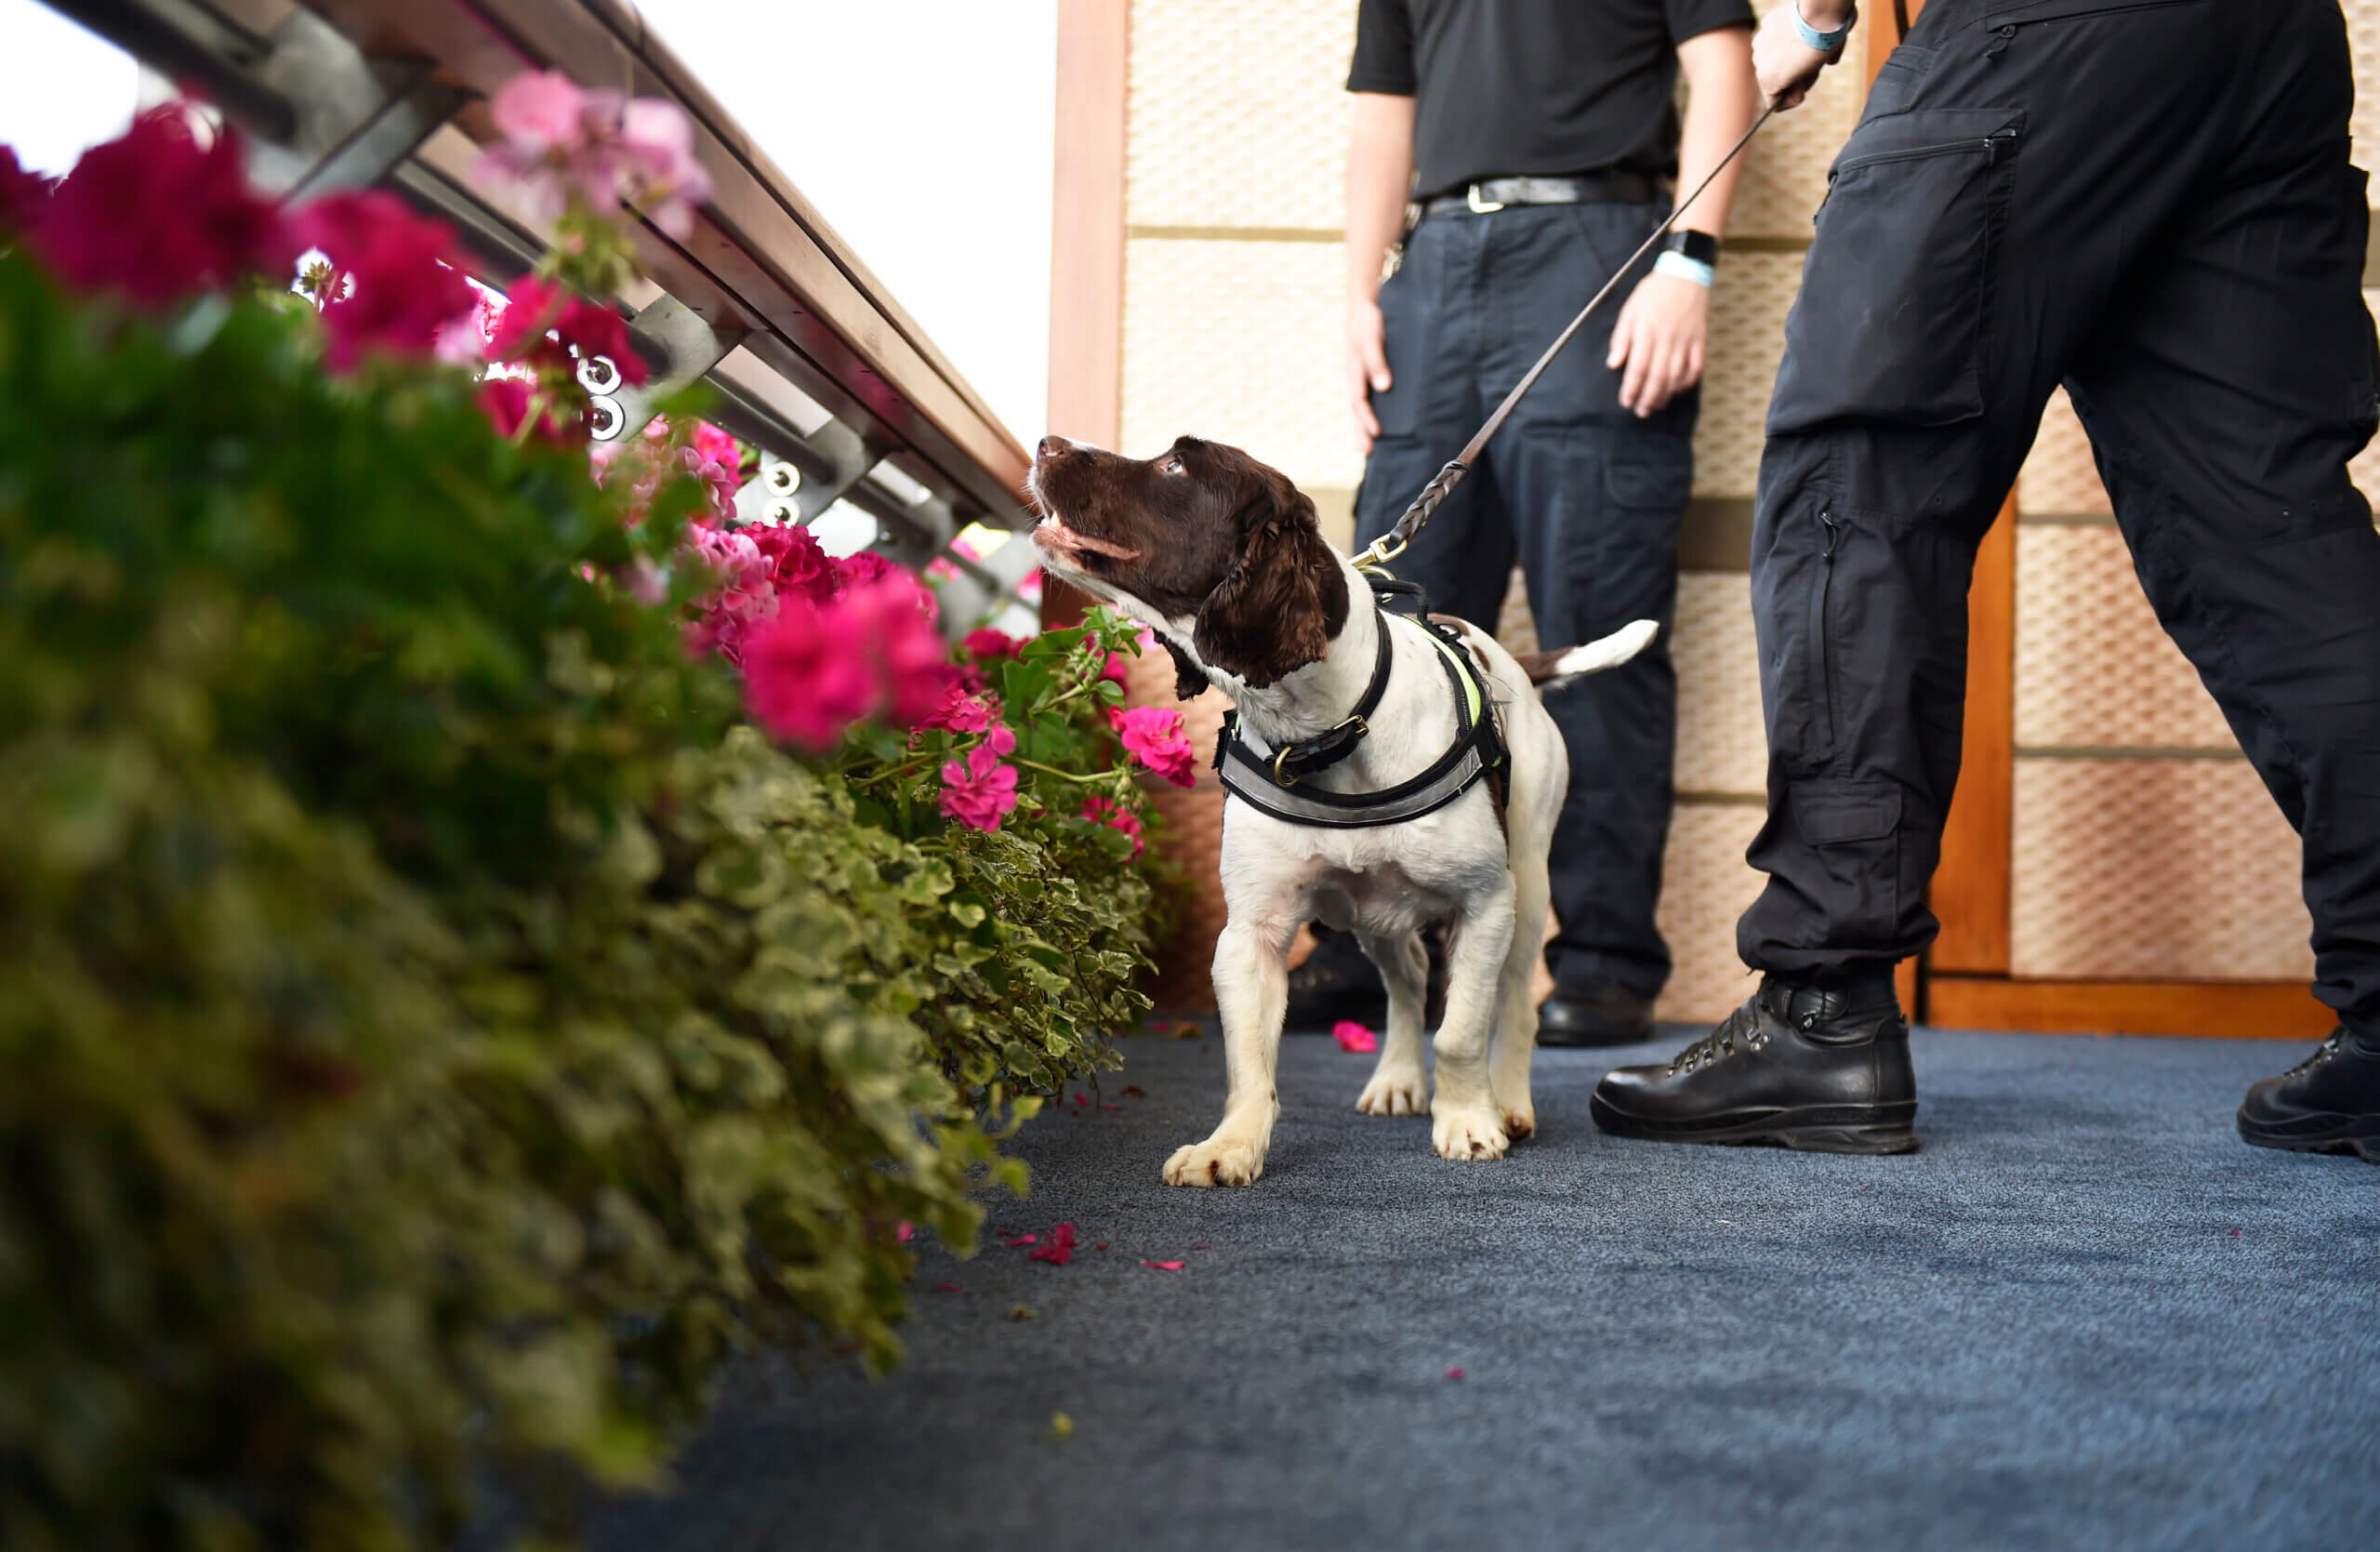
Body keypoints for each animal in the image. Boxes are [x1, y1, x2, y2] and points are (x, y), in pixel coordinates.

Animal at [1023, 431, 1656, 1180]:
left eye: (1175, 465)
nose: (1047, 443)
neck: (1336, 730)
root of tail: (1517, 668)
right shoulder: (1252, 930)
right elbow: (1249, 1061)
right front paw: (1231, 1145)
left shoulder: (1485, 903)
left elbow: (1463, 1029)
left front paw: (1469, 1121)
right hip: (1373, 913)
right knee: (1409, 980)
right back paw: (1398, 1078)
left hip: (1526, 885)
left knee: (1515, 1002)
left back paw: (1509, 1100)